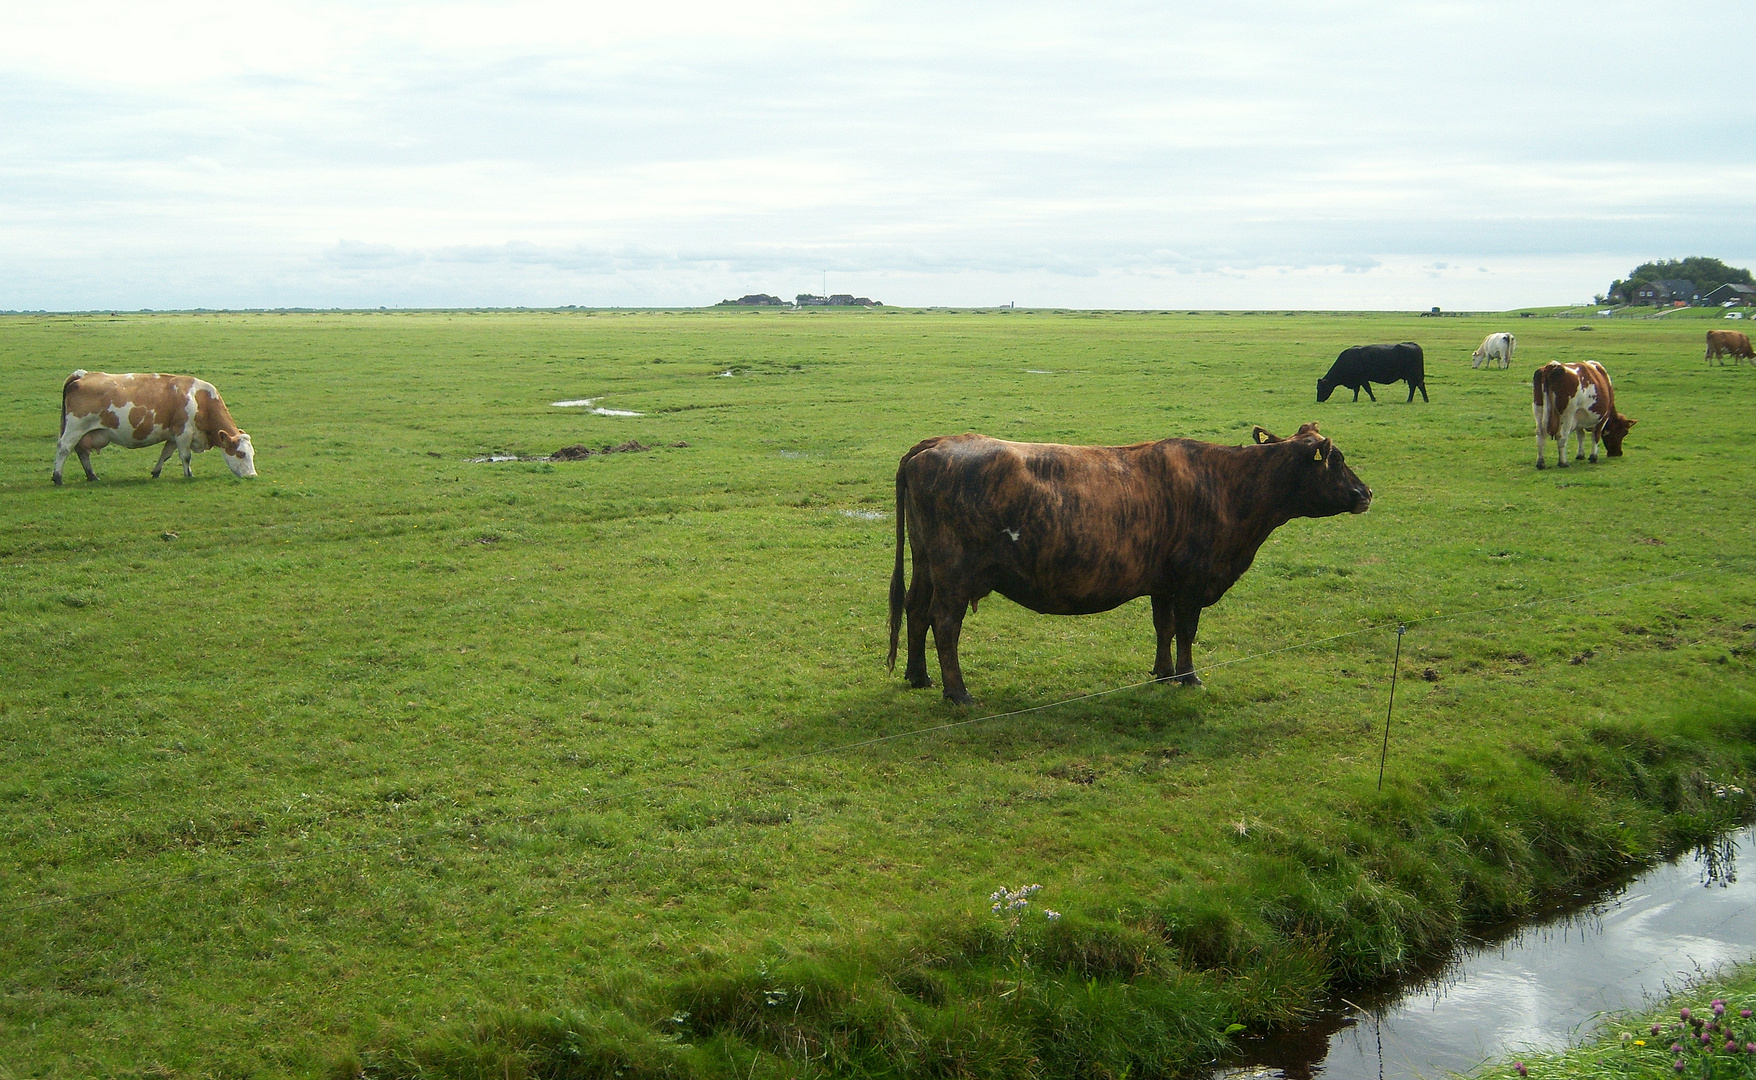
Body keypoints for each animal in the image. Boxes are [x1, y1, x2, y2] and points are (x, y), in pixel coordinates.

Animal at [54, 374, 256, 488]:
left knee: (82, 451)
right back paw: (57, 478)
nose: (252, 476)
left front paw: (156, 472)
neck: (200, 399)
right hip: (75, 428)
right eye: (240, 453)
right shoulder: (183, 432)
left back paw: (92, 476)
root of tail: (82, 375)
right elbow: (186, 456)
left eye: (252, 454)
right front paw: (189, 474)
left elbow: (165, 454)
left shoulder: (173, 435)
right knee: (64, 449)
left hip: (84, 433)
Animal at [892, 426, 1369, 705]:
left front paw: (1162, 674)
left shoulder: (1164, 583)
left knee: (915, 611)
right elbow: (1187, 630)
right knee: (944, 623)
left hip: (926, 565)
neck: (1227, 484)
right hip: (954, 574)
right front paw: (1189, 677)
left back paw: (919, 677)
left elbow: (1165, 627)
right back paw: (957, 693)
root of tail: (935, 443)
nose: (1366, 493)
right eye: (1338, 460)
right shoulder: (1193, 580)